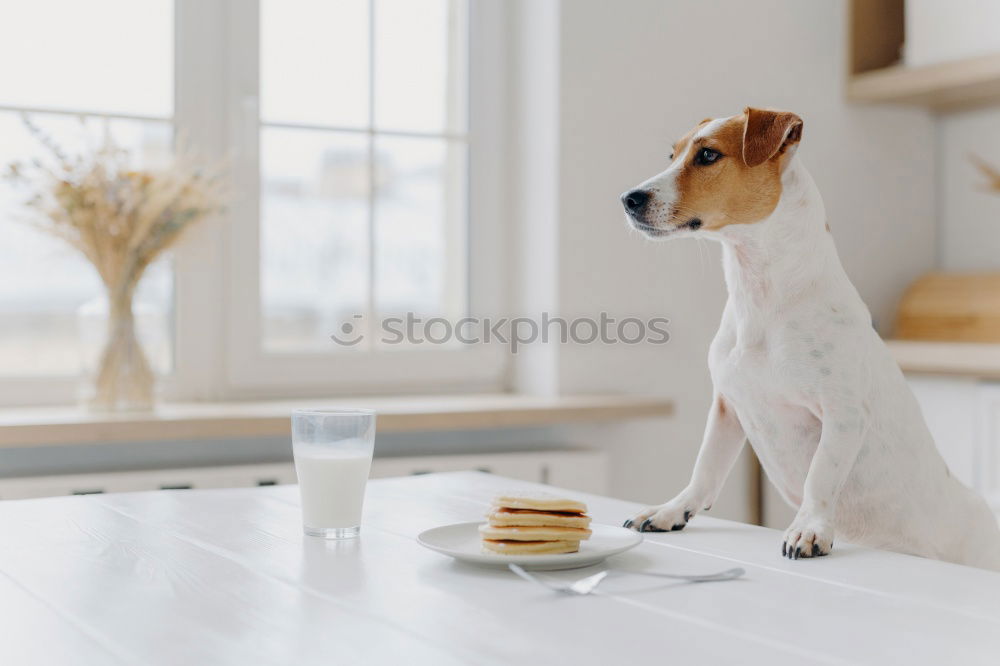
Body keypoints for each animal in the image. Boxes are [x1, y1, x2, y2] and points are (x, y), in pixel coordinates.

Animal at [616, 106, 1000, 568]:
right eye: (672, 155)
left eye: (708, 155)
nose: (628, 198)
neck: (761, 297)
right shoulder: (727, 406)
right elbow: (705, 466)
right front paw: (673, 510)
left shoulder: (843, 414)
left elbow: (821, 476)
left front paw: (810, 528)